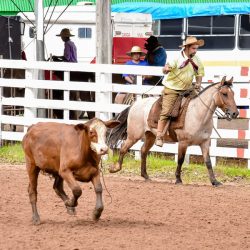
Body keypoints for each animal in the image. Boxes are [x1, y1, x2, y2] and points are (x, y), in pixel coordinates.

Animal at [109, 76, 238, 186]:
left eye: (233, 94)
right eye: (224, 94)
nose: (235, 113)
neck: (197, 114)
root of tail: (135, 104)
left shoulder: (205, 142)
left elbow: (208, 162)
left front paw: (215, 181)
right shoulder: (183, 142)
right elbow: (180, 160)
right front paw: (178, 179)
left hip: (150, 135)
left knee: (143, 151)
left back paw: (145, 175)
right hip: (133, 135)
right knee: (123, 148)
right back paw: (115, 168)